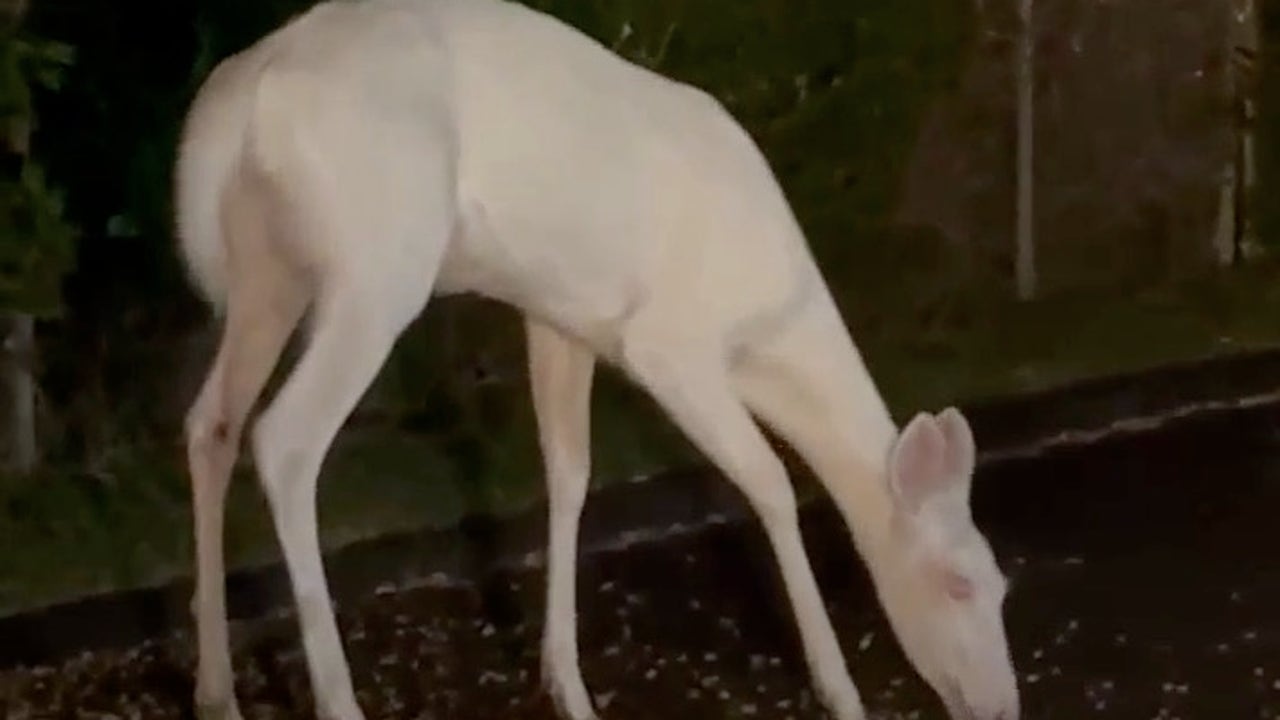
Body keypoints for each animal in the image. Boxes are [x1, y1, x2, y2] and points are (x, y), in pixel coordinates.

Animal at [175, 0, 1020, 718]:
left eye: (1005, 584)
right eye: (957, 584)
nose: (1003, 705)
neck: (766, 340)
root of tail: (235, 109)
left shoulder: (564, 318)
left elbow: (569, 472)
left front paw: (567, 685)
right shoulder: (668, 343)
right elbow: (771, 484)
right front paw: (839, 689)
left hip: (268, 270)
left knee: (211, 422)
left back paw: (216, 690)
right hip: (377, 259)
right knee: (284, 437)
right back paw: (335, 699)